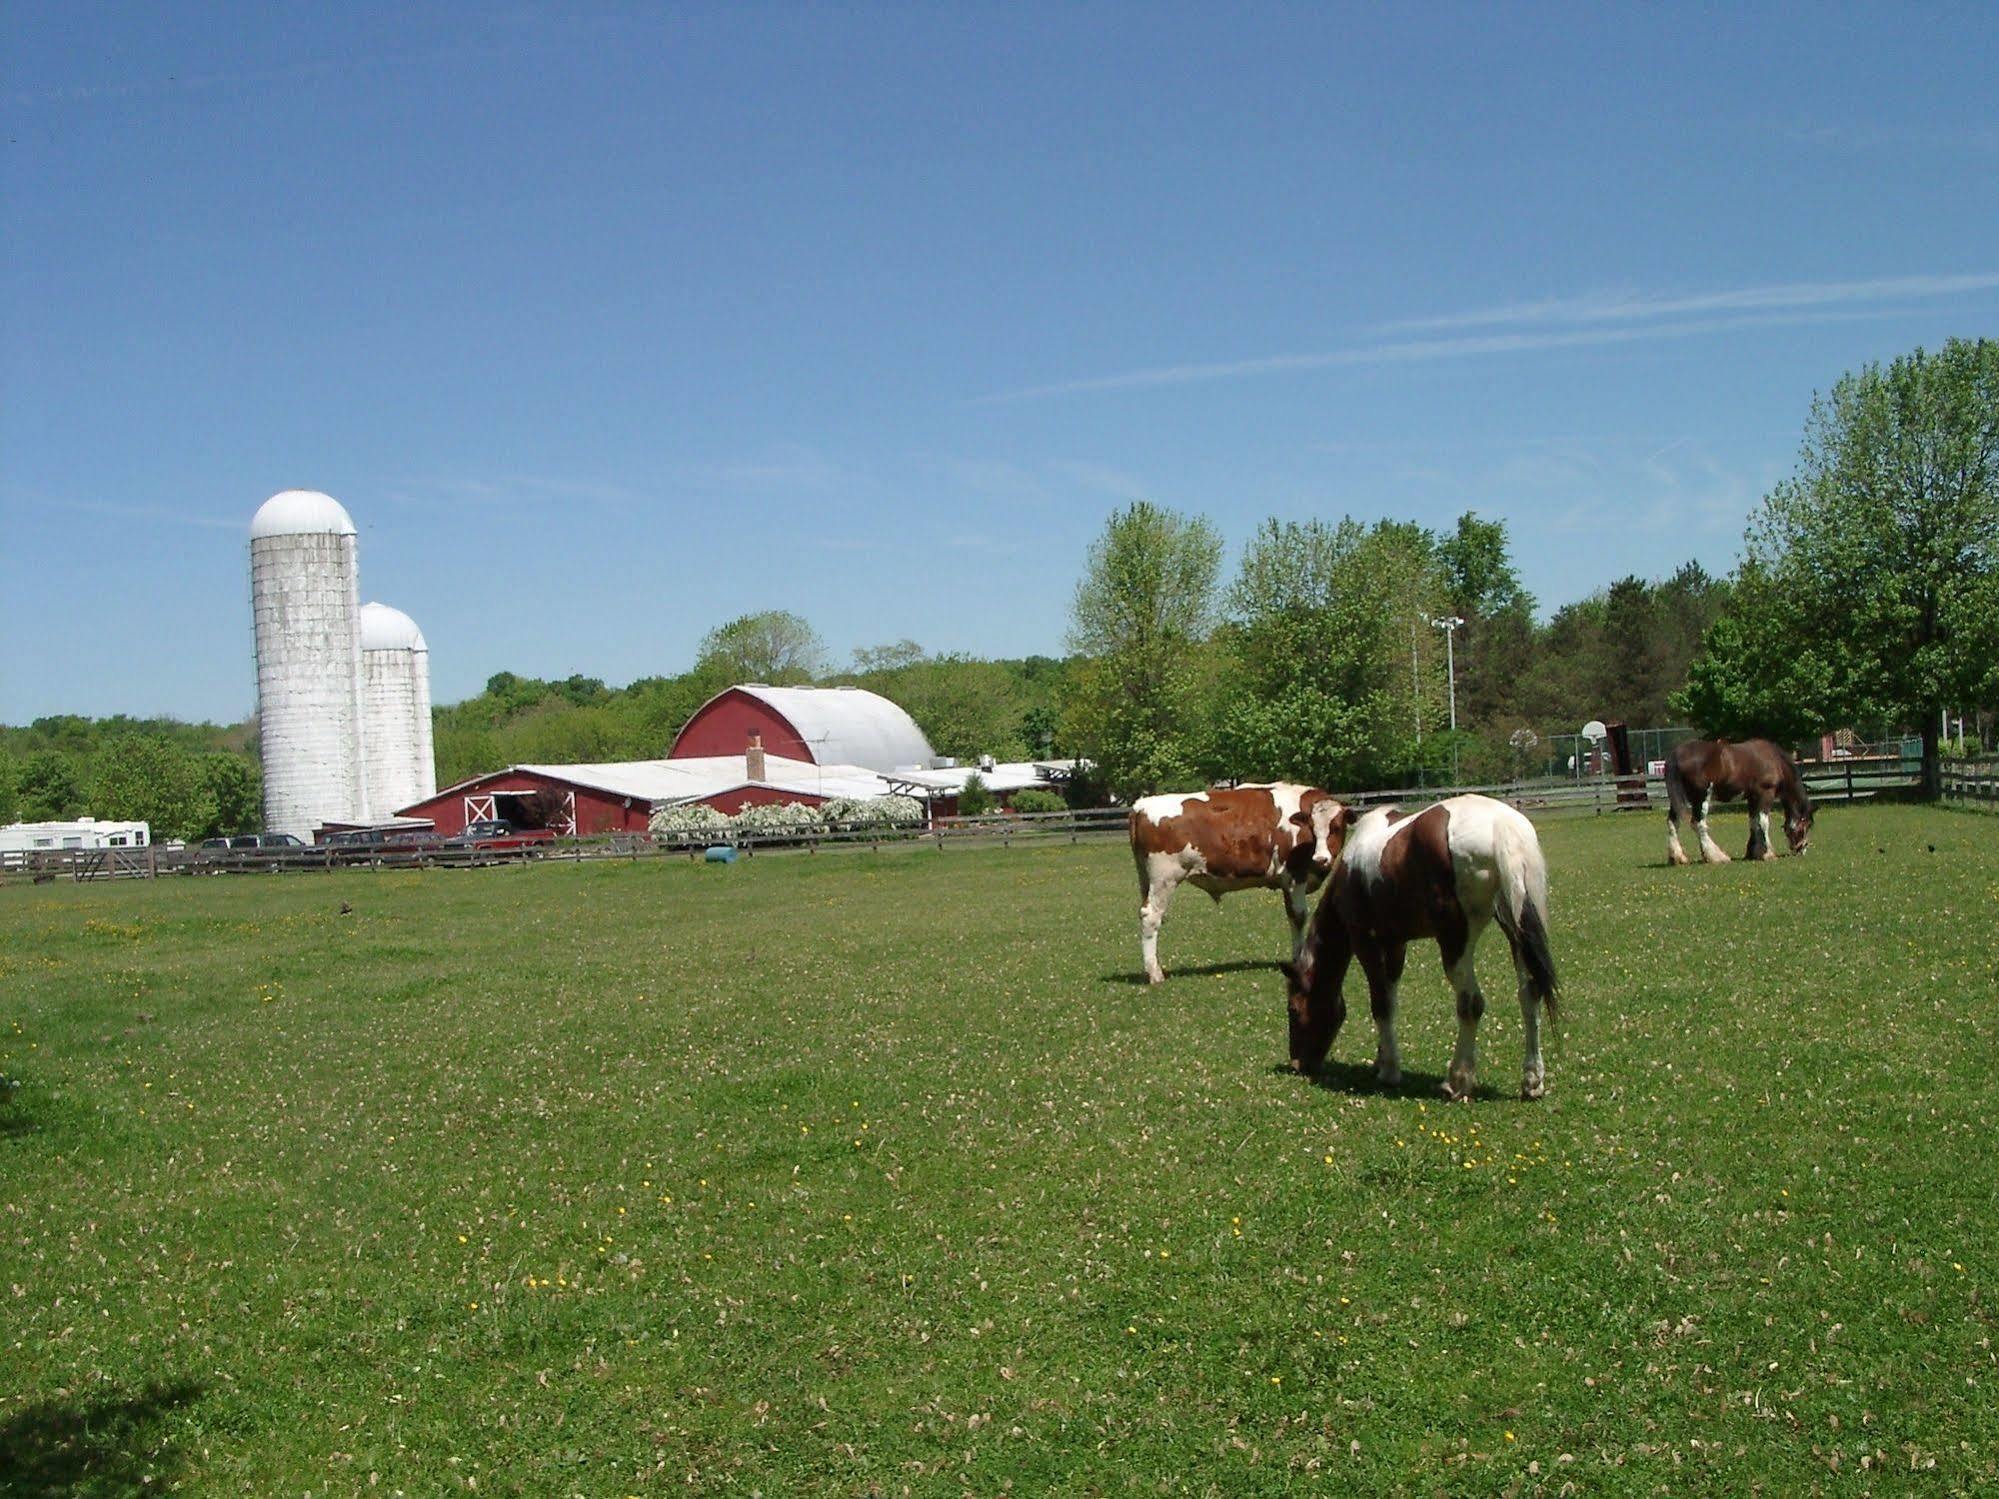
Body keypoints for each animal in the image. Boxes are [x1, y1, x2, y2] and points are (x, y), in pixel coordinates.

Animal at [1127, 787, 1343, 987]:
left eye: (1337, 827)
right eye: (1313, 827)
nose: (1321, 859)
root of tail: (1141, 806)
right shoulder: (1294, 874)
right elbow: (1298, 916)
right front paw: (1299, 960)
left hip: (1148, 880)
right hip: (1164, 879)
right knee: (1151, 916)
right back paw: (1155, 974)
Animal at [1279, 799, 1559, 1103]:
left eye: (1293, 1009)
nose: (1298, 1063)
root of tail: (1501, 825)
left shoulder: (1365, 941)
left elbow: (1381, 1003)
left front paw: (1390, 1071)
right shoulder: (1395, 945)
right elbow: (1390, 1000)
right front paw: (1382, 1059)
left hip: (1455, 941)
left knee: (1470, 1002)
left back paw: (1457, 1081)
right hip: (1517, 931)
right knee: (1530, 992)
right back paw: (1532, 1080)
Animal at [1655, 739, 1815, 867]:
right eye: (1806, 826)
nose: (1802, 849)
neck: (1774, 760)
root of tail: (1677, 754)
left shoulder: (1753, 798)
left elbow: (1754, 822)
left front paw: (1753, 852)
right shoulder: (1765, 794)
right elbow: (1764, 823)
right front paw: (1768, 853)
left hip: (1680, 799)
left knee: (1673, 822)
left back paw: (1678, 857)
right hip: (1700, 798)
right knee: (1698, 824)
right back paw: (1717, 857)